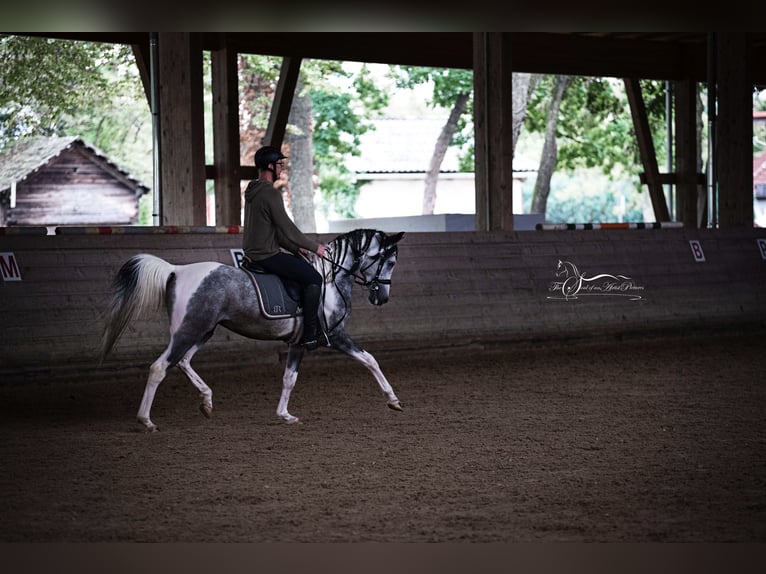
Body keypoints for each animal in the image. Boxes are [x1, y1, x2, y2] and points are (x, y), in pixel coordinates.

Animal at [99, 228, 405, 431]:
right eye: (390, 262)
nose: (382, 298)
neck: (330, 279)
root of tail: (178, 270)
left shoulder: (297, 344)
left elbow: (289, 379)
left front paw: (284, 415)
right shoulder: (337, 337)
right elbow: (370, 360)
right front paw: (393, 399)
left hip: (202, 331)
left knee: (183, 361)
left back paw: (206, 401)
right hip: (189, 331)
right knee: (160, 367)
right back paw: (146, 420)